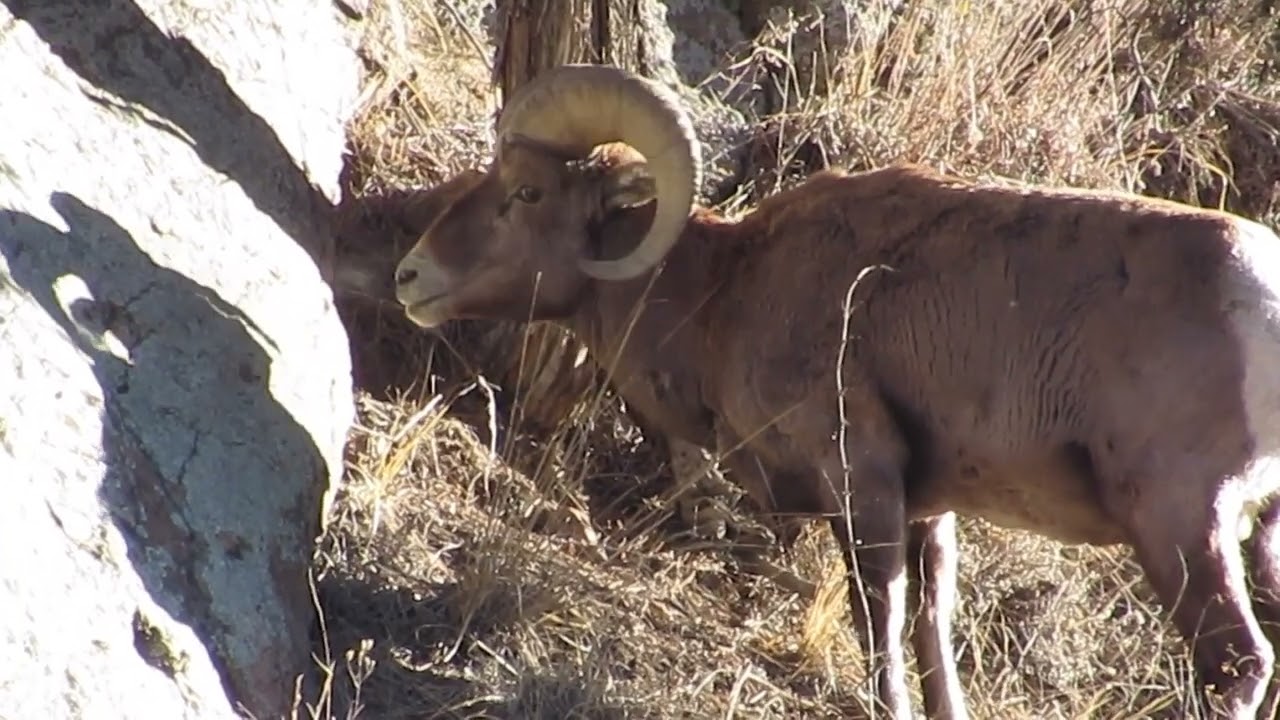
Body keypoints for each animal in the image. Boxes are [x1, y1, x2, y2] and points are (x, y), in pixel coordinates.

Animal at [390, 62, 1280, 719]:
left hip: (1179, 522)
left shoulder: (863, 483)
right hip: (1257, 534)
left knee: (1237, 665)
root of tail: (1260, 294)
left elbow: (878, 622)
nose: (410, 278)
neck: (726, 295)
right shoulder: (928, 510)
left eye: (526, 193)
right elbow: (930, 634)